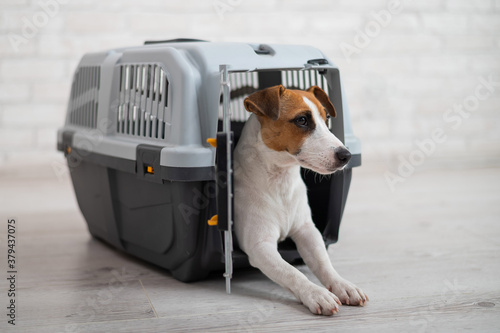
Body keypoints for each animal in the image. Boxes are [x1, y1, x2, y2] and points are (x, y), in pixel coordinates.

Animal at [233, 85, 368, 314]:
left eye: (326, 118)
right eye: (302, 120)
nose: (346, 155)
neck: (280, 180)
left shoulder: (307, 231)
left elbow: (323, 262)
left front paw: (342, 285)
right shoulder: (260, 246)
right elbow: (291, 272)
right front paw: (316, 294)